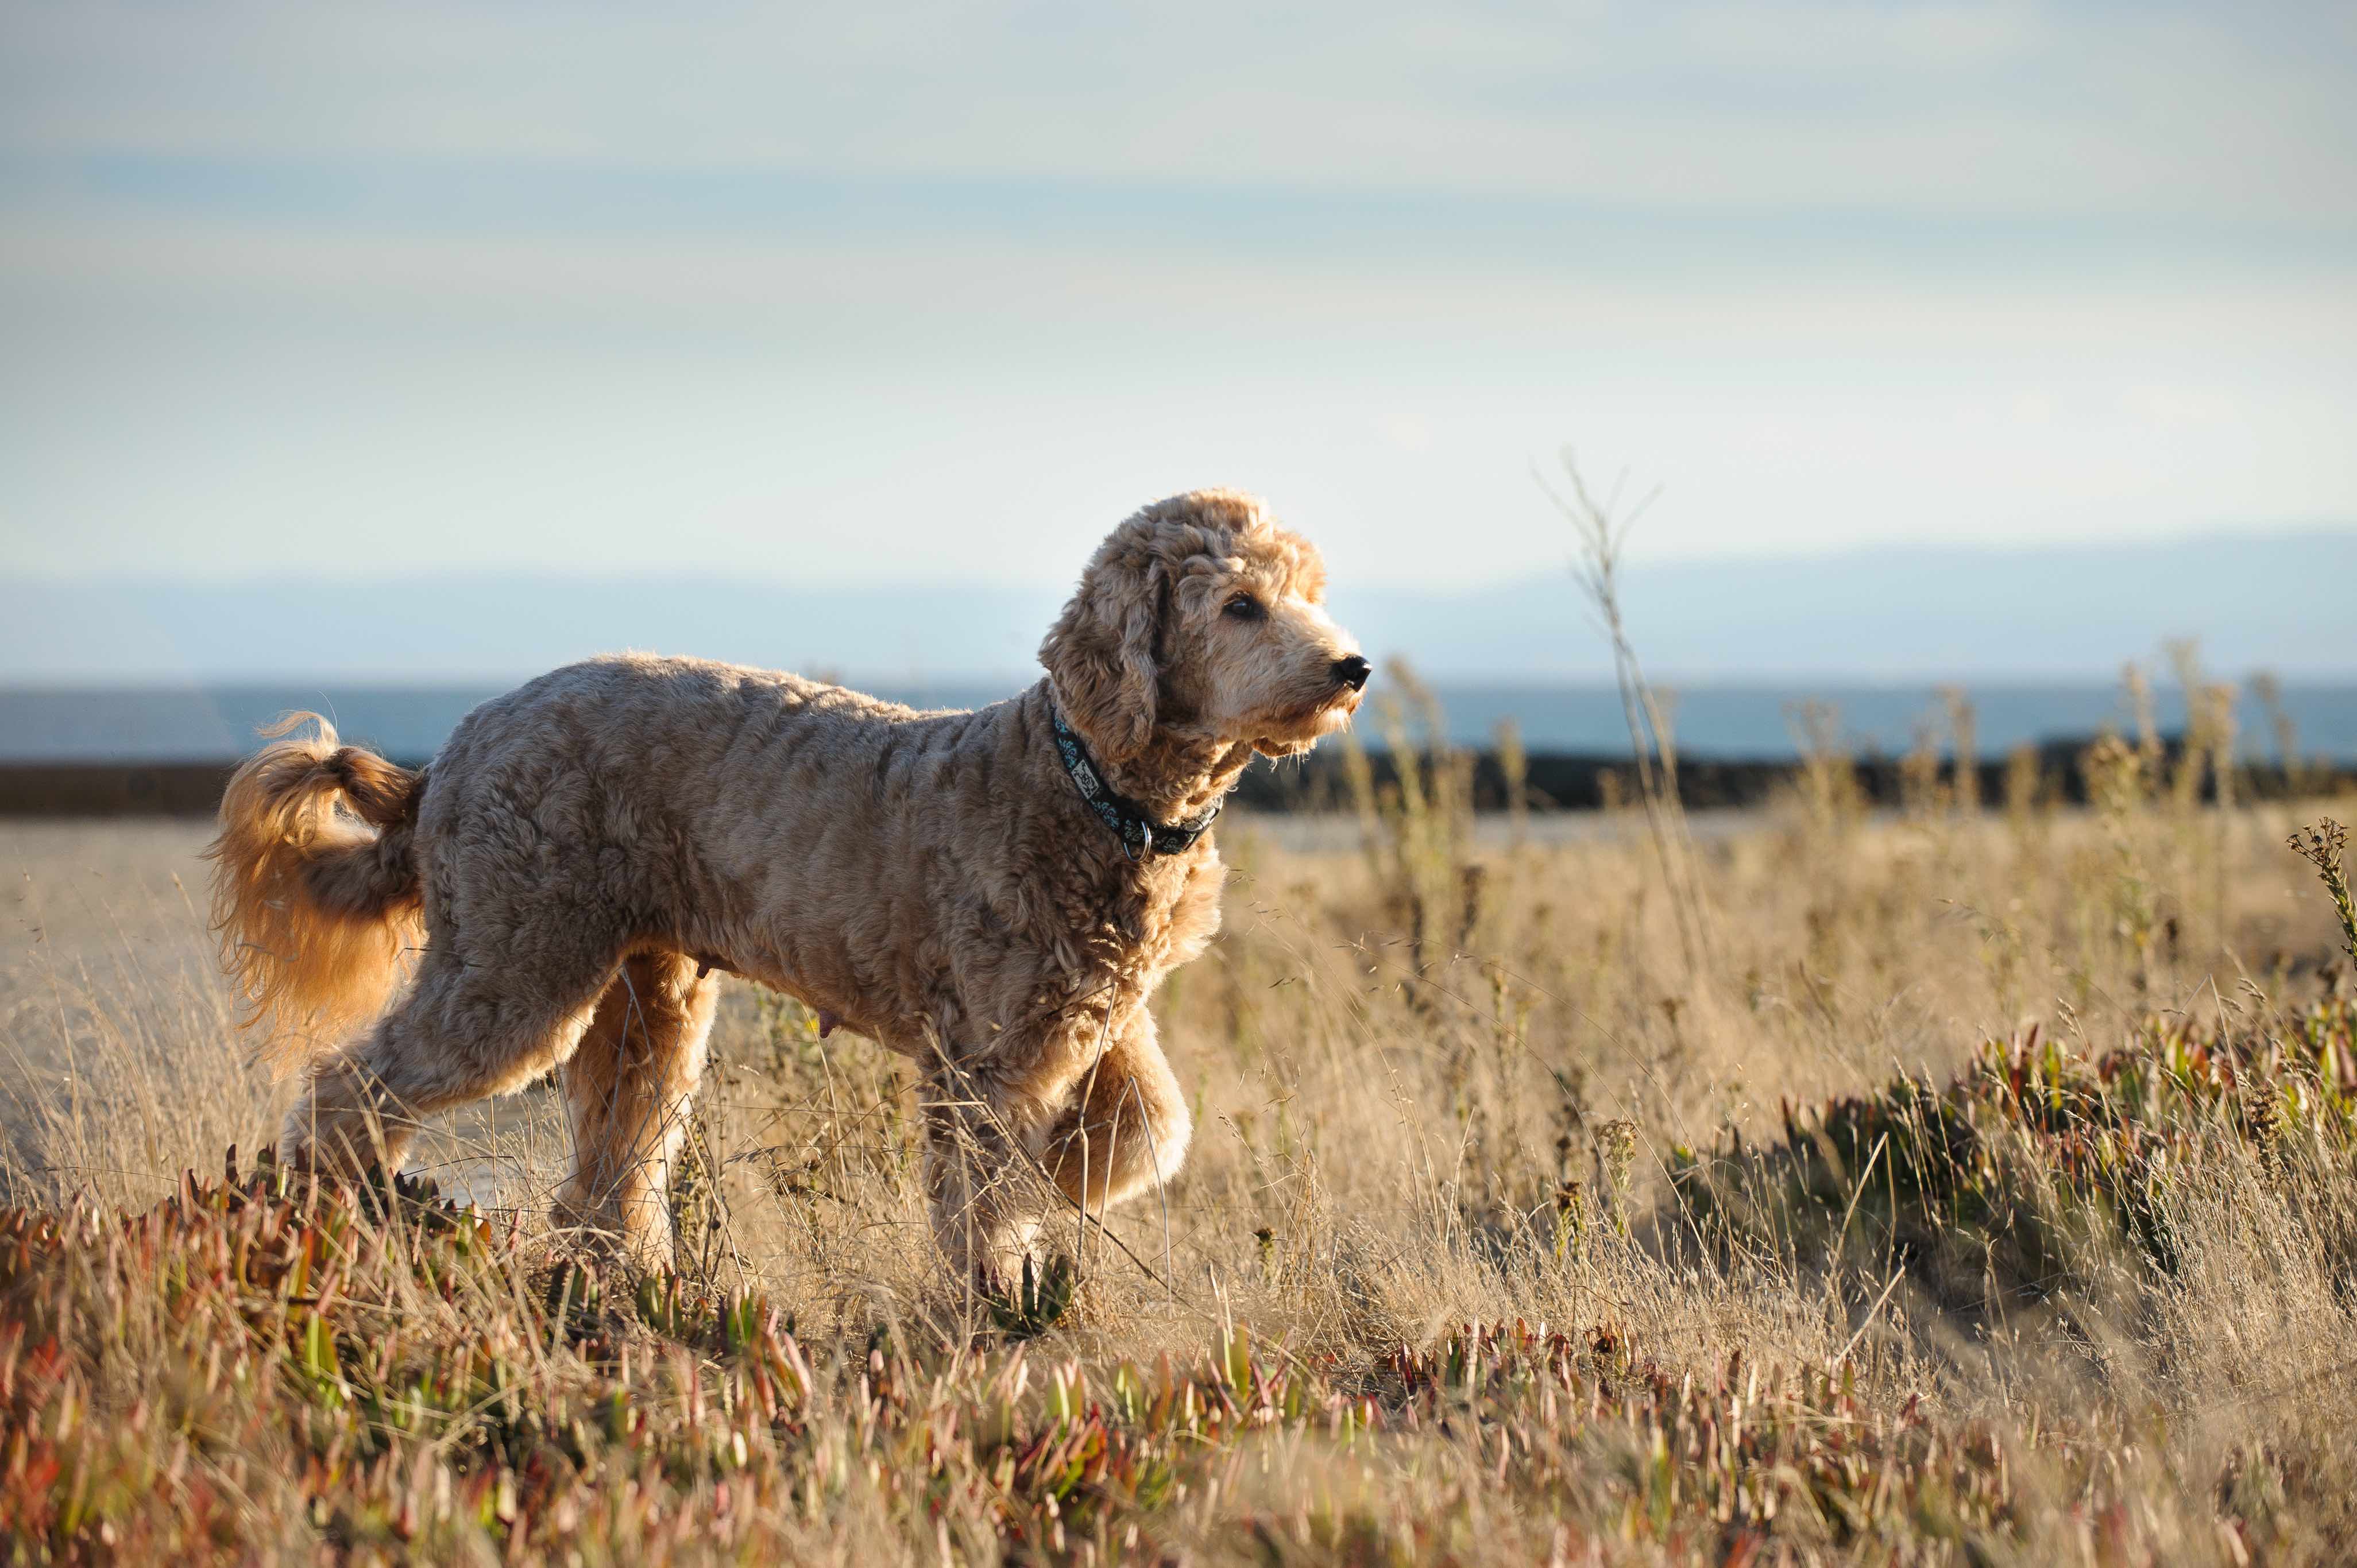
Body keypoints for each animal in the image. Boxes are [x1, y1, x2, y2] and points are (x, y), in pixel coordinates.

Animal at [217, 493, 1376, 1283]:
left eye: (1310, 596)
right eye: (1240, 605)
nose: (1352, 667)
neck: (1086, 783)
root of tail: (449, 754)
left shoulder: (1095, 1016)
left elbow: (1147, 1128)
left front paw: (1062, 1189)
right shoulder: (987, 1052)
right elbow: (987, 1189)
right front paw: (998, 1289)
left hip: (648, 998)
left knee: (611, 1165)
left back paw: (625, 1276)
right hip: (514, 968)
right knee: (353, 1084)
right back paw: (330, 1212)